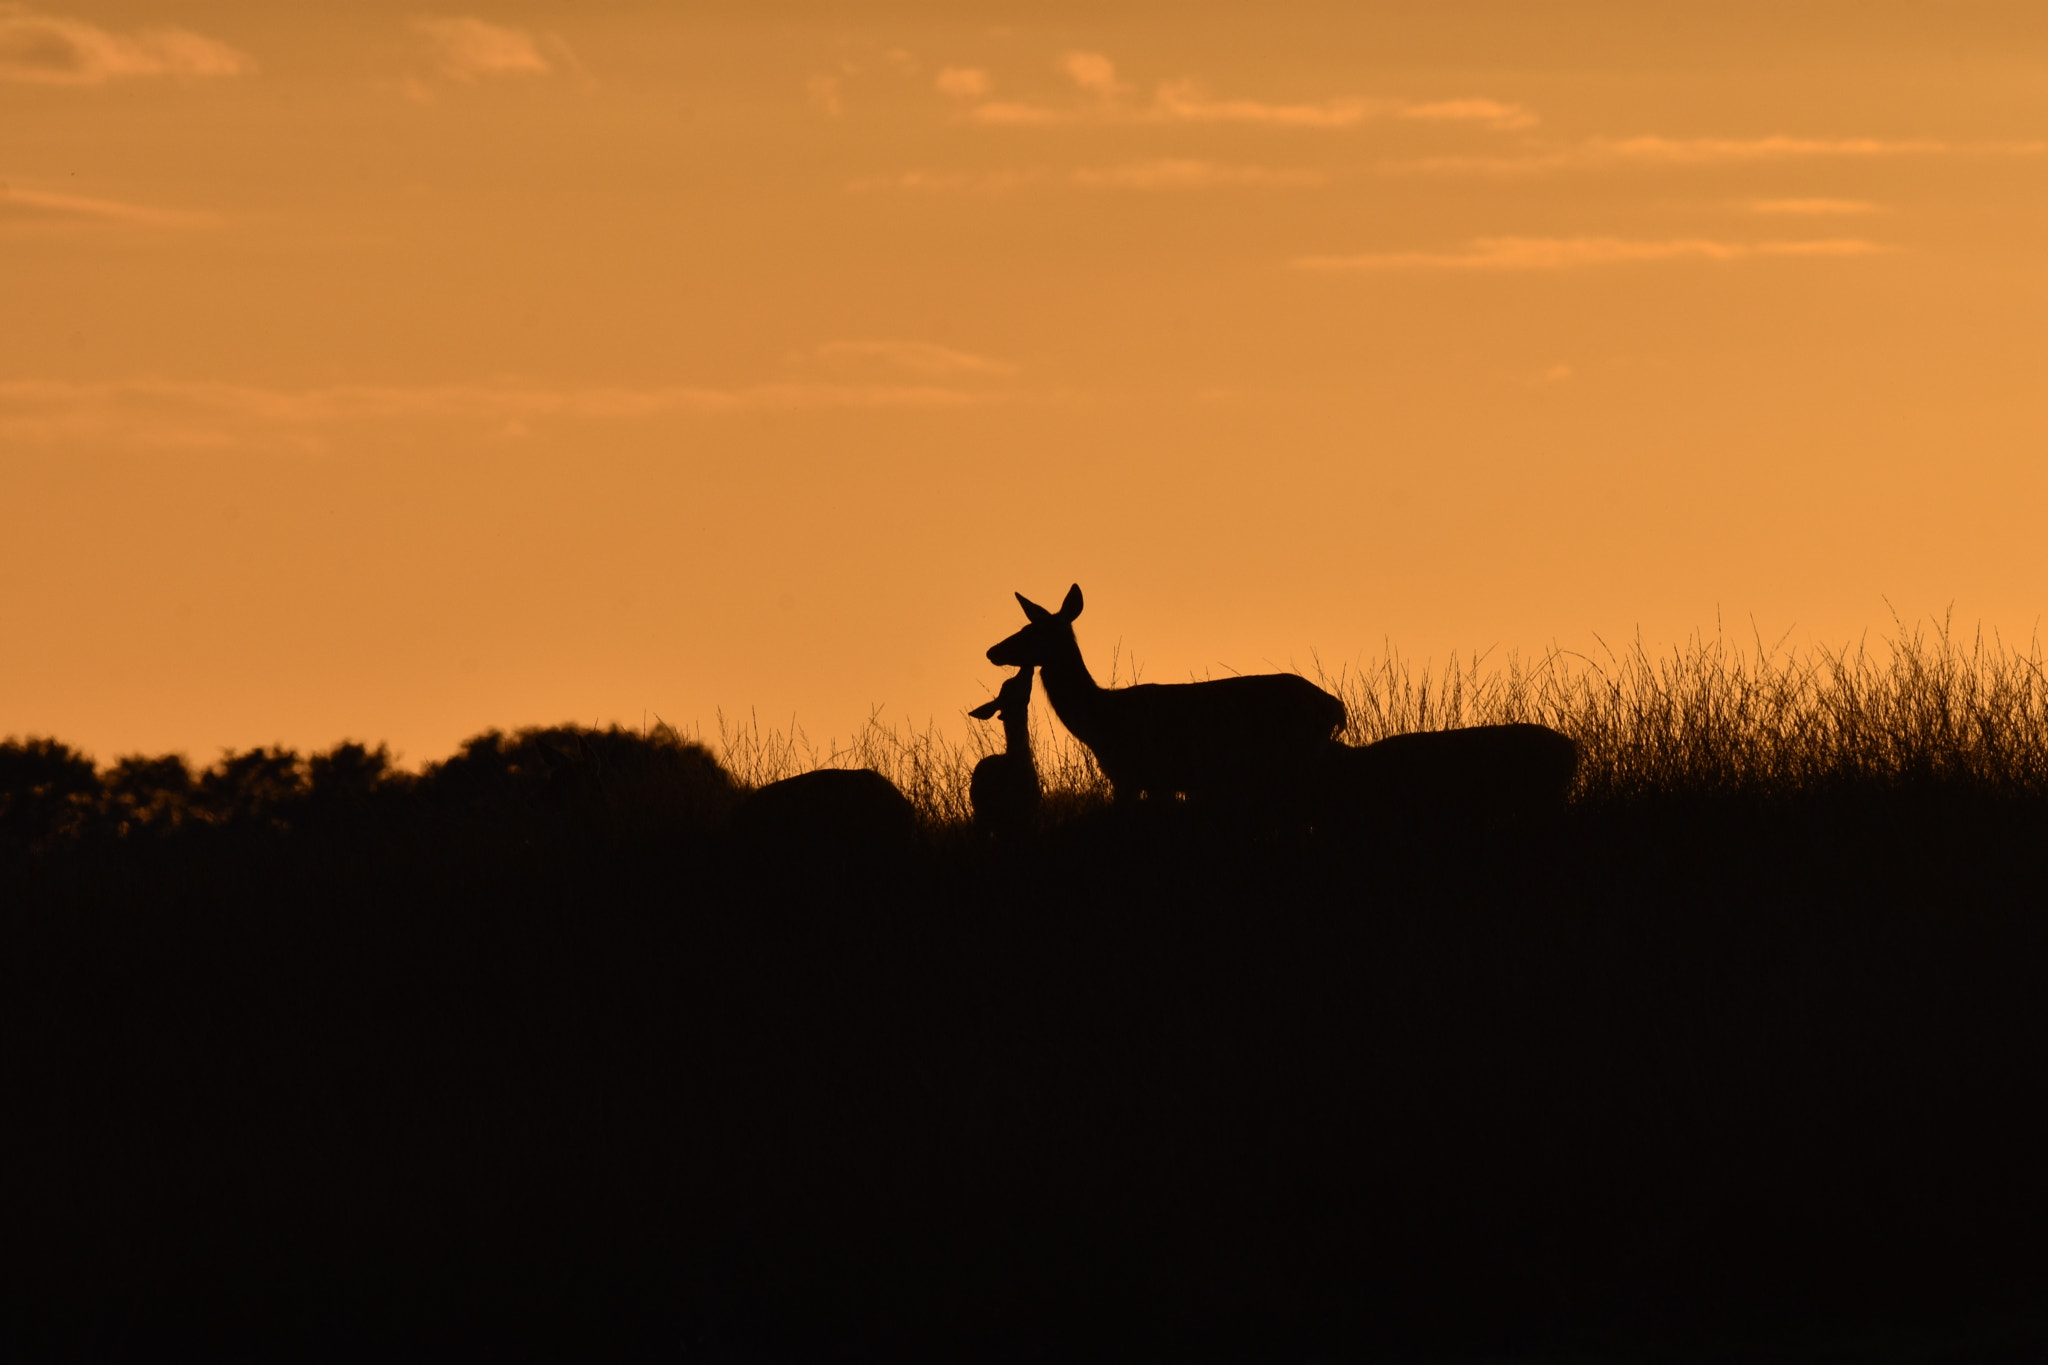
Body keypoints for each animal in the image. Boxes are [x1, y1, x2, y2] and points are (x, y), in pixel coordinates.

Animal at [987, 585, 1351, 802]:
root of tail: (1334, 706)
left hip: (1294, 757)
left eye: (1031, 631)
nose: (992, 651)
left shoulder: (1145, 775)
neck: (1102, 722)